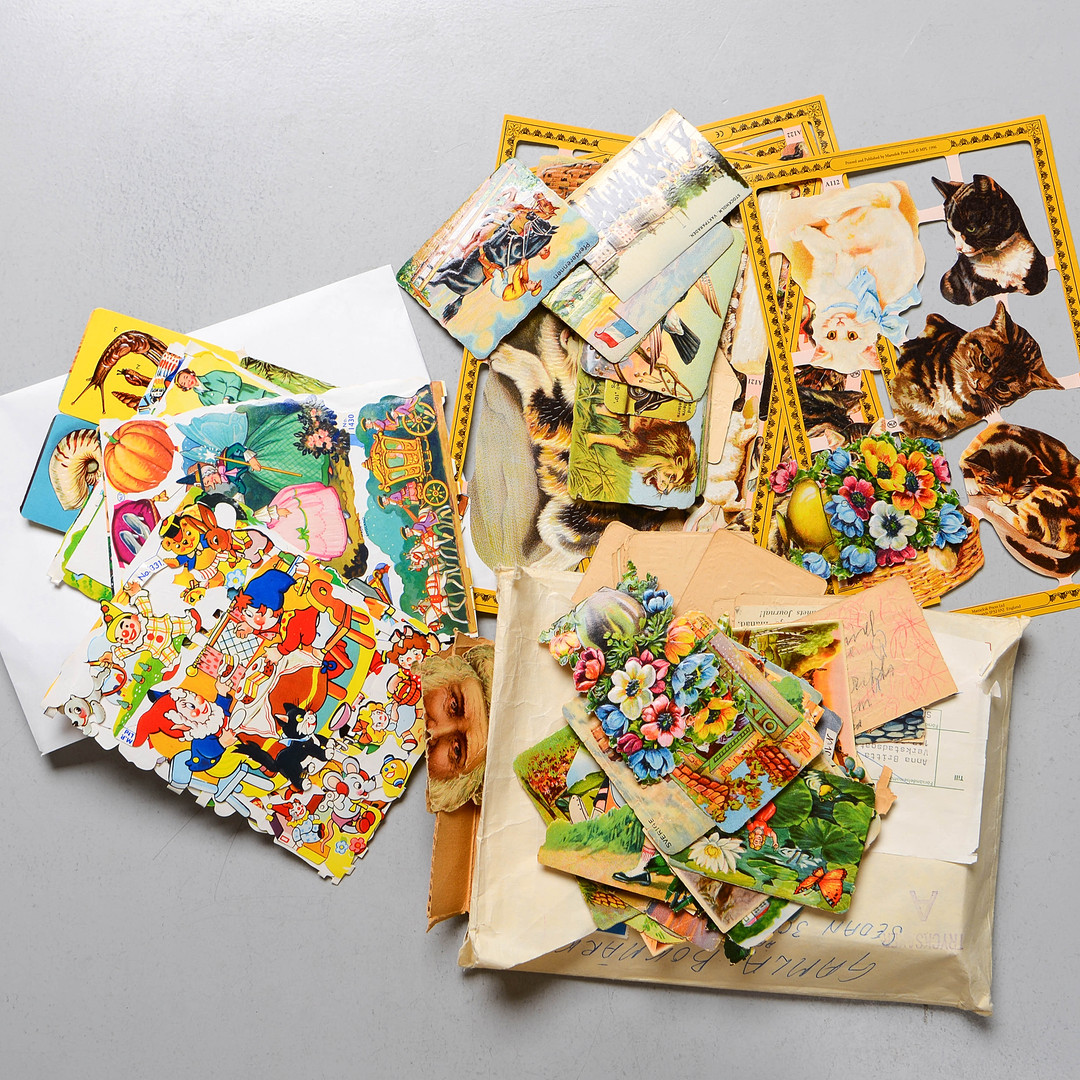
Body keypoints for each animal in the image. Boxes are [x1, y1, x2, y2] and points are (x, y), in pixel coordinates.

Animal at [960, 422, 1080, 578]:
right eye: (997, 489)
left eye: (1018, 492)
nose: (1006, 501)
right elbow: (965, 462)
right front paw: (970, 481)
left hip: (1044, 499)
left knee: (1026, 528)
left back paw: (996, 507)